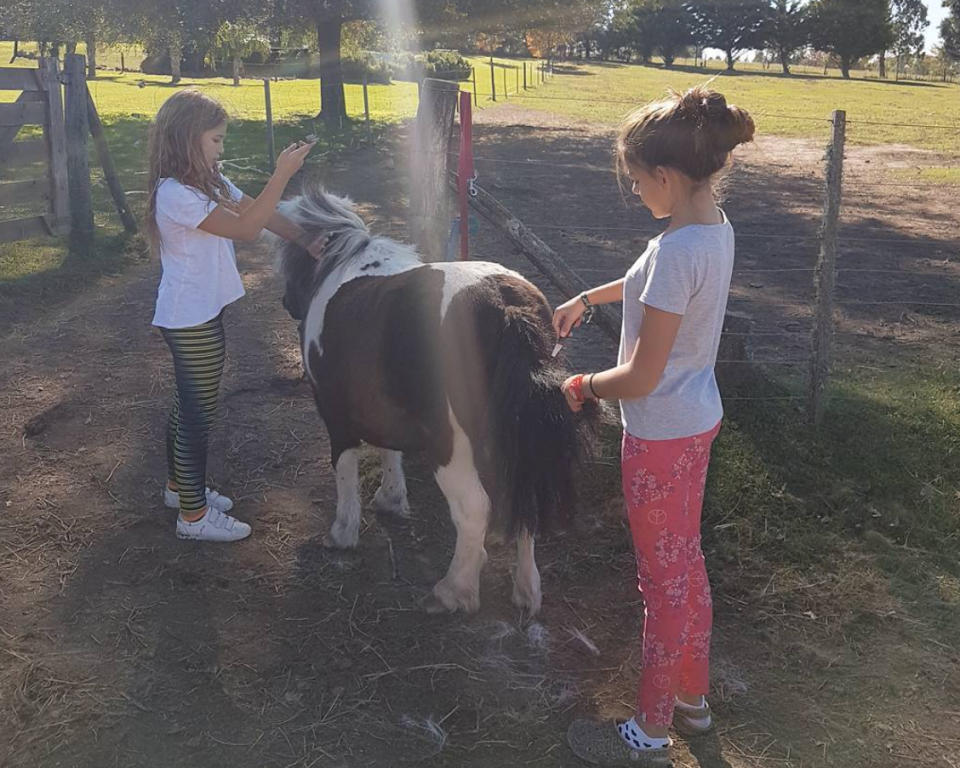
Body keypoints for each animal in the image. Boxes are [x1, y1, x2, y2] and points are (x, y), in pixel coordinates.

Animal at [274, 188, 596, 616]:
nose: (286, 301)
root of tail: (505, 304)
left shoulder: (337, 419)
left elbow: (345, 472)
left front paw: (342, 533)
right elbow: (389, 452)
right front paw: (391, 499)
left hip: (451, 447)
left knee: (474, 510)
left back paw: (454, 591)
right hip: (512, 437)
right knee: (521, 499)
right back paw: (527, 592)